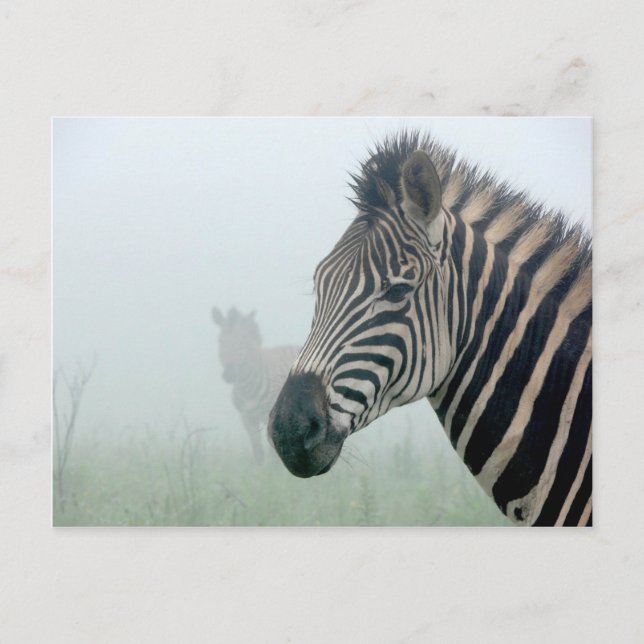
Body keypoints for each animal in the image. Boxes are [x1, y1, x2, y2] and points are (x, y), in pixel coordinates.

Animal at [212, 307, 299, 463]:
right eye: (220, 342)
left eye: (239, 343)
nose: (229, 375)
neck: (246, 388)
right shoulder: (247, 417)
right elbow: (258, 450)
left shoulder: (271, 416)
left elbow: (272, 452)